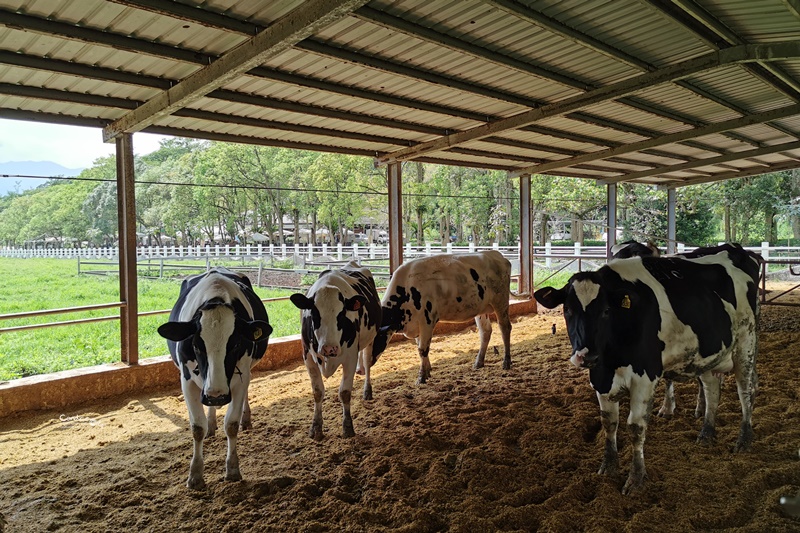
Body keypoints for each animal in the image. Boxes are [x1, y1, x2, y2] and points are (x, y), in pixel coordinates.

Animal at [158, 266, 274, 490]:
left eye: (235, 345)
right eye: (196, 345)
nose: (217, 395)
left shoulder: (240, 378)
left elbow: (231, 424)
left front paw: (232, 469)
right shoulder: (187, 382)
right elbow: (197, 427)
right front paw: (195, 474)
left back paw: (246, 418)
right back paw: (212, 422)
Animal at [290, 260, 382, 438]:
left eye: (342, 314)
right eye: (314, 314)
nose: (329, 348)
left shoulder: (350, 357)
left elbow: (344, 392)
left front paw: (348, 427)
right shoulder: (308, 357)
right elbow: (317, 392)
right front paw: (316, 428)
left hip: (370, 339)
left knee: (367, 363)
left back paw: (367, 391)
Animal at [374, 251, 512, 384]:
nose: (365, 368)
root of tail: (496, 254)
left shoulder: (427, 321)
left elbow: (423, 349)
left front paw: (421, 377)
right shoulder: (417, 325)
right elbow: (420, 347)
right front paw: (427, 370)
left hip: (501, 302)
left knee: (505, 328)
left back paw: (506, 362)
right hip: (482, 309)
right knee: (485, 332)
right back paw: (479, 362)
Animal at [536, 243, 760, 492]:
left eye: (606, 311)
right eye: (567, 310)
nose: (587, 356)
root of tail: (736, 248)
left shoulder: (644, 377)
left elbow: (635, 427)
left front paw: (636, 478)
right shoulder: (601, 378)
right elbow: (608, 423)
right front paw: (608, 466)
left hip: (746, 342)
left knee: (746, 391)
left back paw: (744, 440)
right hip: (710, 352)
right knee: (712, 390)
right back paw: (706, 433)